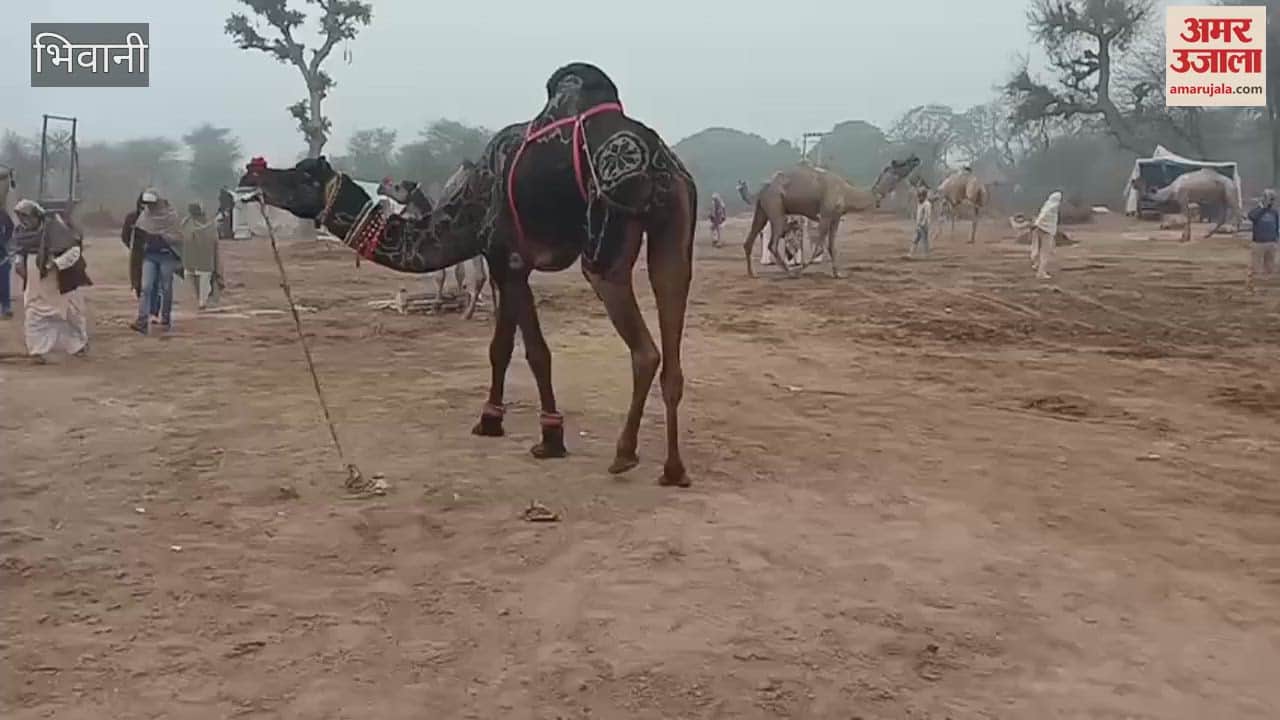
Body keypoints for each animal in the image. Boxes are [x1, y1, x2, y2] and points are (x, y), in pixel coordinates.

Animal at [378, 168, 488, 319]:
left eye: (397, 186)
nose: (379, 188)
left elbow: (440, 275)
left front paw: (436, 306)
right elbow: (459, 273)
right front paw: (459, 299)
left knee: (480, 276)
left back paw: (468, 314)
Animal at [742, 157, 920, 278]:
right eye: (900, 163)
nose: (915, 159)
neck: (846, 193)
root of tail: (762, 188)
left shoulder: (836, 217)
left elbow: (831, 246)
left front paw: (837, 274)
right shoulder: (825, 215)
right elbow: (819, 247)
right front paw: (800, 270)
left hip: (762, 208)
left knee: (749, 240)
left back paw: (752, 274)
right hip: (775, 206)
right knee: (772, 243)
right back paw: (789, 273)